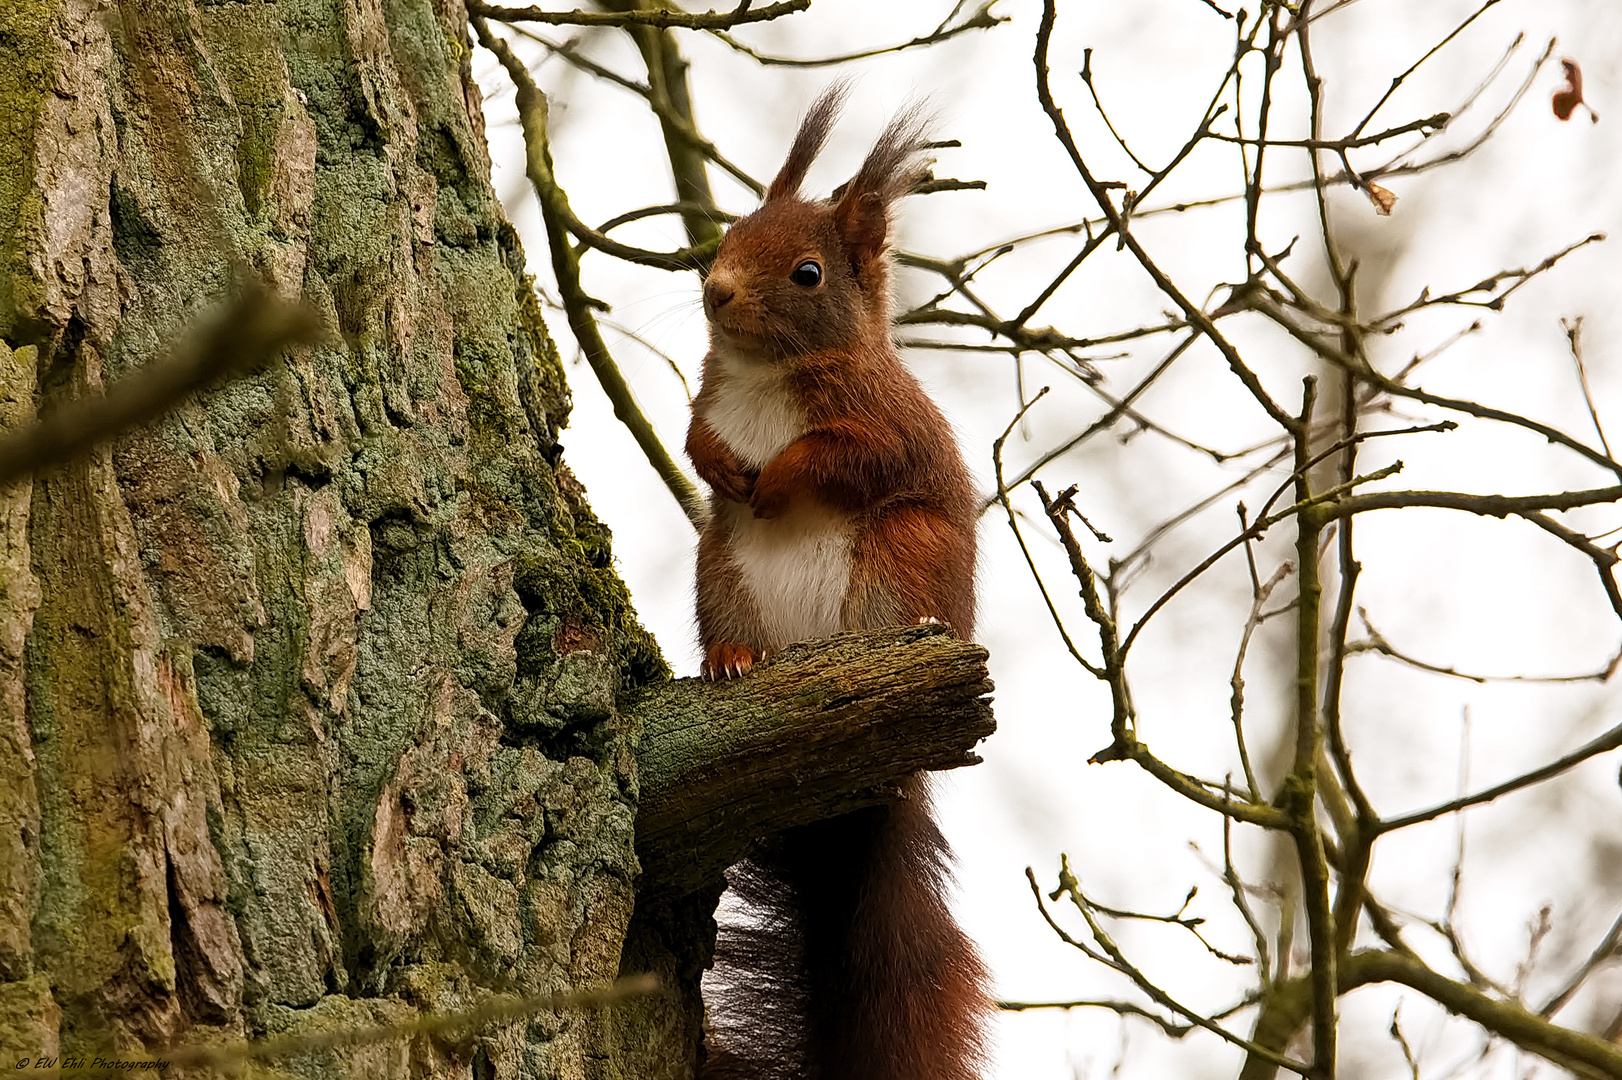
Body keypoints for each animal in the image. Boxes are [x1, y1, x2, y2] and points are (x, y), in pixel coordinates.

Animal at [684, 88, 986, 1076]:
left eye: (808, 274)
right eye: (731, 231)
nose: (716, 289)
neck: (764, 373)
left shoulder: (881, 427)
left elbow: (837, 459)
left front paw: (775, 477)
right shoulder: (708, 398)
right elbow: (695, 436)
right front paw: (721, 465)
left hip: (902, 556)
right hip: (719, 570)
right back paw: (732, 659)